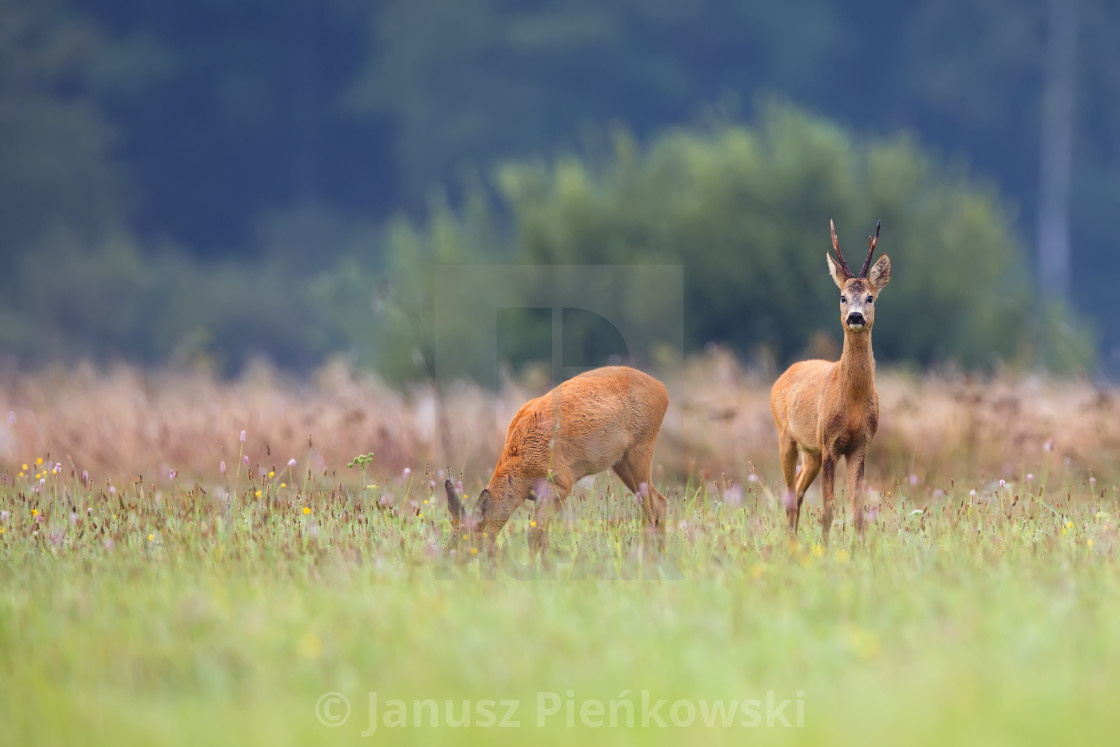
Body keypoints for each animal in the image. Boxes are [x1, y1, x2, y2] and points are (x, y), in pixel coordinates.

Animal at [770, 219, 891, 539]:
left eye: (870, 297)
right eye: (842, 296)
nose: (855, 316)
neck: (852, 401)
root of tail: (783, 375)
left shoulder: (860, 444)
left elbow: (858, 510)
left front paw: (860, 546)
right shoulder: (830, 442)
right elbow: (828, 508)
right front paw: (824, 547)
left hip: (810, 451)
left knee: (798, 493)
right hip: (786, 436)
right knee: (790, 495)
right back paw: (791, 542)